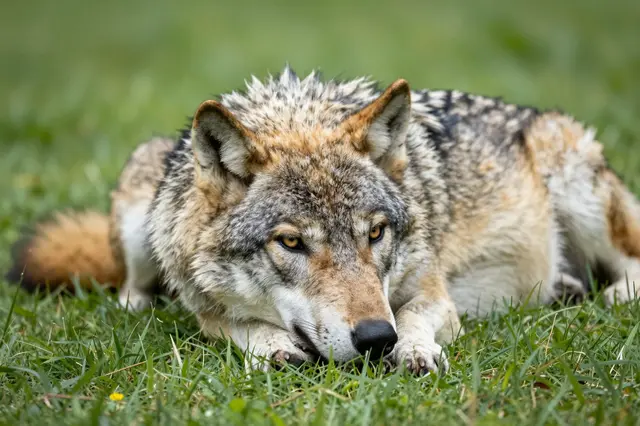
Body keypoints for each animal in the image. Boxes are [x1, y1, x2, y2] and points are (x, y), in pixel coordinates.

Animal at [7, 66, 640, 374]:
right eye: (291, 243)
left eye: (376, 233)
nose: (376, 338)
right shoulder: (202, 308)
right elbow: (233, 325)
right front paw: (272, 345)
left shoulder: (433, 292)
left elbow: (418, 317)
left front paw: (413, 349)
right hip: (142, 206)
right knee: (132, 287)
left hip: (575, 180)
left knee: (629, 259)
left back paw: (608, 294)